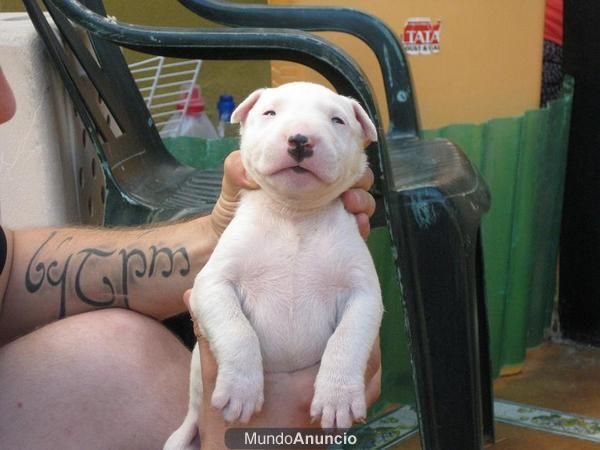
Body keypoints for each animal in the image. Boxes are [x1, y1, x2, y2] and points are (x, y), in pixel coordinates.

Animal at [162, 81, 382, 450]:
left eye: (337, 120)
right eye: (270, 112)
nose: (300, 139)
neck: (295, 216)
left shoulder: (363, 293)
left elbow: (347, 338)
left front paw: (336, 397)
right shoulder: (213, 283)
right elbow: (237, 330)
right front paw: (241, 391)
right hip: (193, 386)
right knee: (191, 415)